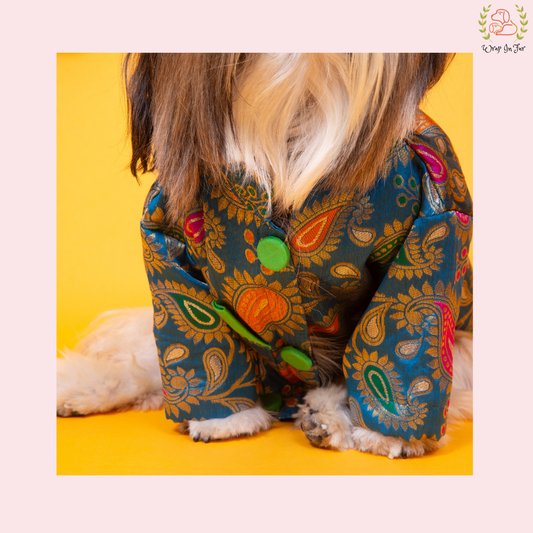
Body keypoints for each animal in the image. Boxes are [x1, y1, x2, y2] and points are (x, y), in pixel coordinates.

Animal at [57, 53, 473, 459]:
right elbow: (196, 332)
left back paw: (325, 417)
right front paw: (225, 418)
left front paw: (387, 433)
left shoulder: (433, 228)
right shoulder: (167, 241)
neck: (292, 110)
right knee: (143, 370)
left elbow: (399, 337)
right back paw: (77, 388)